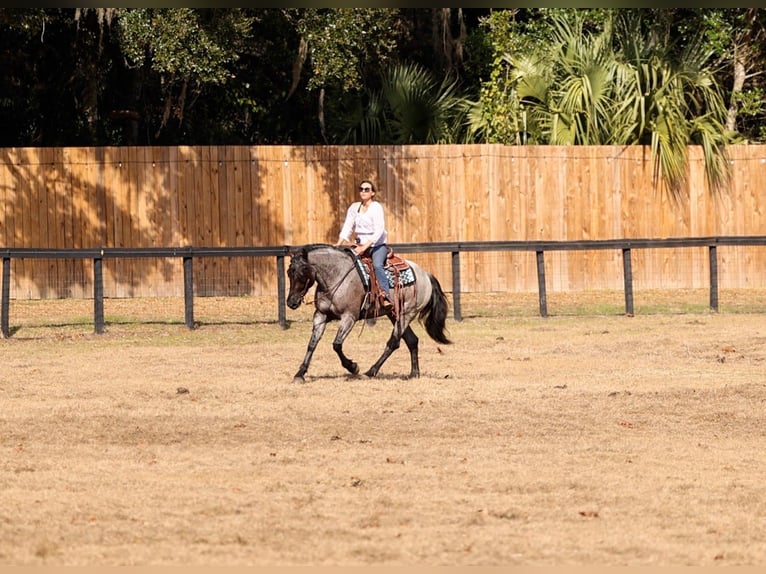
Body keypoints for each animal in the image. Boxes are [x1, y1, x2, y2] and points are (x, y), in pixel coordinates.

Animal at [285, 243, 452, 384]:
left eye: (303, 272)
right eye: (289, 272)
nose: (291, 302)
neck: (337, 276)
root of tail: (426, 275)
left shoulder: (349, 317)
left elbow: (337, 345)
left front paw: (353, 367)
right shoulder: (321, 315)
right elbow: (312, 344)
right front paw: (300, 374)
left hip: (407, 314)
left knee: (393, 343)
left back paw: (370, 372)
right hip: (394, 314)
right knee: (412, 340)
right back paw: (414, 373)